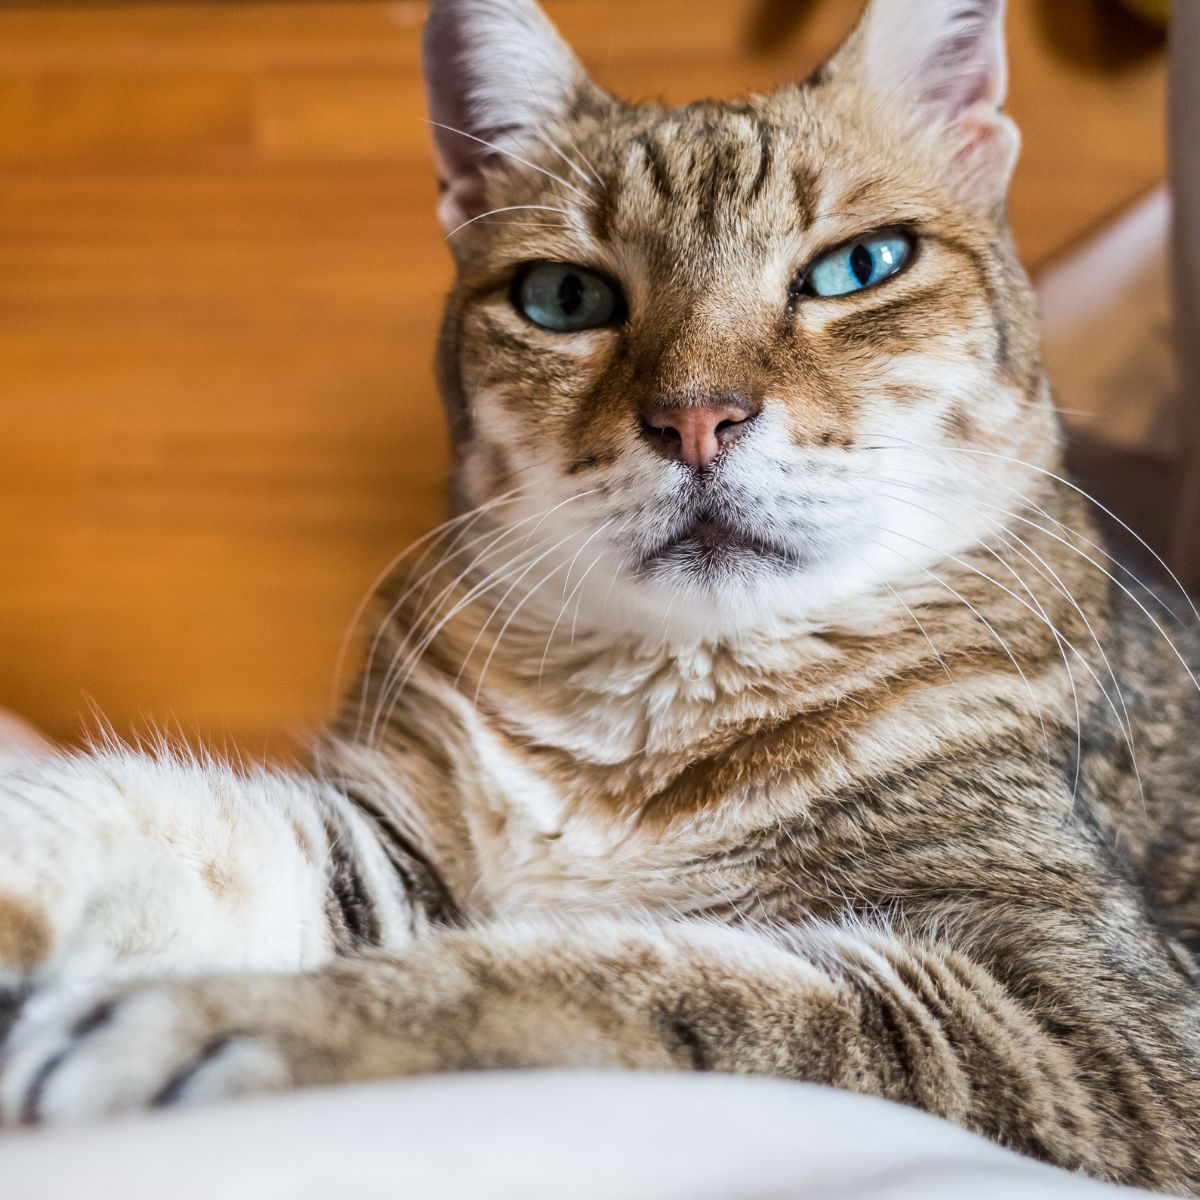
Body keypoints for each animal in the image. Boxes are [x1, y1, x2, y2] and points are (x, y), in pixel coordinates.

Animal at [2, 0, 1200, 1190]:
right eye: (563, 296)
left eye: (860, 266)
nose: (697, 416)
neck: (648, 715)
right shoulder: (398, 845)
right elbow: (176, 818)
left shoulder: (1088, 1032)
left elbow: (615, 988)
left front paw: (215, 1026)